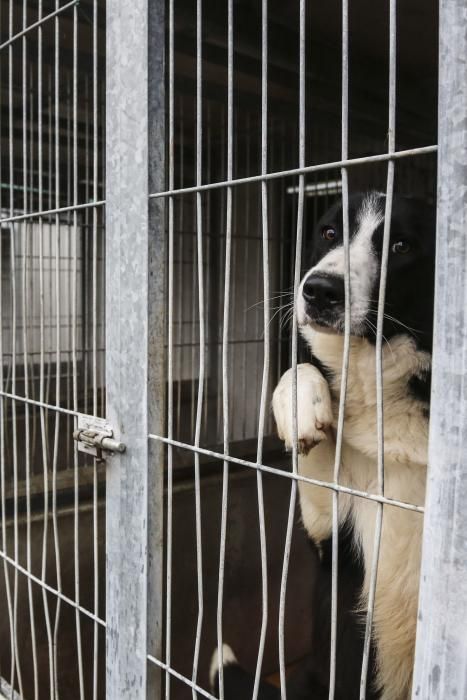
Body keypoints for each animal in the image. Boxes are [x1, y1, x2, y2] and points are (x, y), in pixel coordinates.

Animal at [210, 193, 436, 700]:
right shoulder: (328, 534)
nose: (319, 290)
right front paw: (300, 405)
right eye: (329, 232)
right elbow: (301, 375)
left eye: (401, 245)